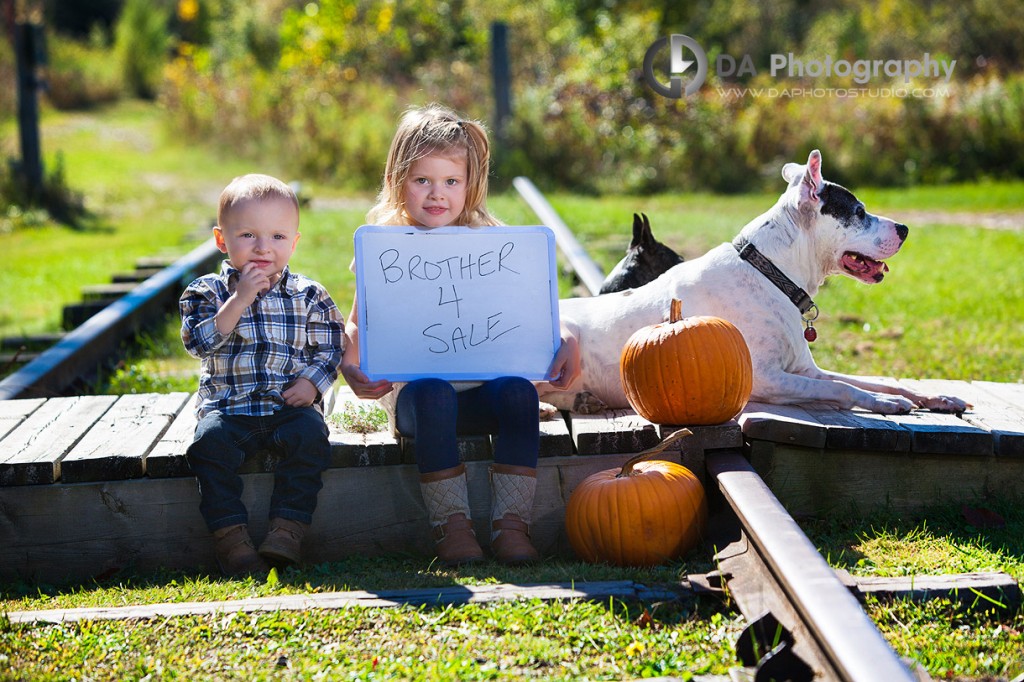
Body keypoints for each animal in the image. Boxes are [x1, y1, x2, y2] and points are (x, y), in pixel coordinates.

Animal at [544, 149, 966, 413]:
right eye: (859, 212)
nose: (905, 228)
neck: (771, 272)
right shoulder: (765, 378)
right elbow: (843, 388)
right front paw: (885, 405)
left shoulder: (805, 370)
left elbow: (874, 381)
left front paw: (933, 398)